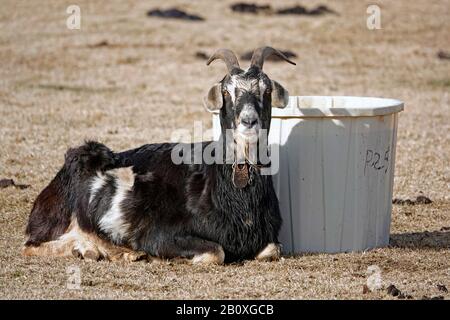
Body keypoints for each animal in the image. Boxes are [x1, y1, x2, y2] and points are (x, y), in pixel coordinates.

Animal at [22, 46, 296, 264]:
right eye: (226, 92)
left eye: (267, 90)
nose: (249, 121)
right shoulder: (160, 234)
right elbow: (215, 252)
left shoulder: (269, 240)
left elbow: (273, 249)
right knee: (32, 246)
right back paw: (91, 251)